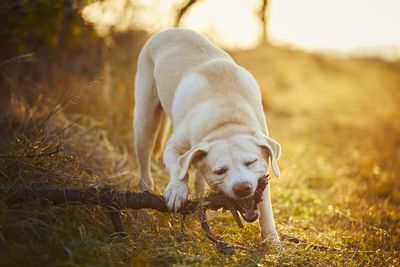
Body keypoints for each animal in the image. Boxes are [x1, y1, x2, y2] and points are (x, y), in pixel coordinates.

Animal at [134, 29, 282, 243]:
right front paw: (177, 190)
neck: (226, 121)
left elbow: (265, 206)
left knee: (199, 180)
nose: (243, 188)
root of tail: (169, 30)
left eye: (251, 162)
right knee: (145, 169)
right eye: (220, 171)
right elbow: (179, 169)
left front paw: (272, 241)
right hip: (145, 120)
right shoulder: (174, 147)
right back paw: (146, 206)